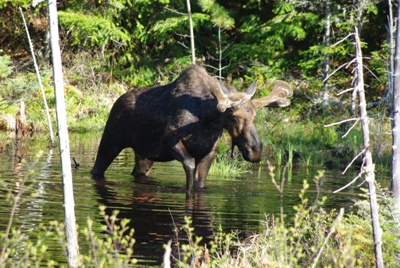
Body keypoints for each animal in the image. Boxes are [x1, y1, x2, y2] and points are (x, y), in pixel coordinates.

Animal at [90, 65, 292, 191]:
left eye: (255, 116)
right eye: (234, 116)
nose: (256, 151)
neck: (207, 122)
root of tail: (116, 101)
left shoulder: (209, 152)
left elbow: (200, 182)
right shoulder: (170, 139)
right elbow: (189, 165)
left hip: (145, 155)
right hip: (111, 141)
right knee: (96, 169)